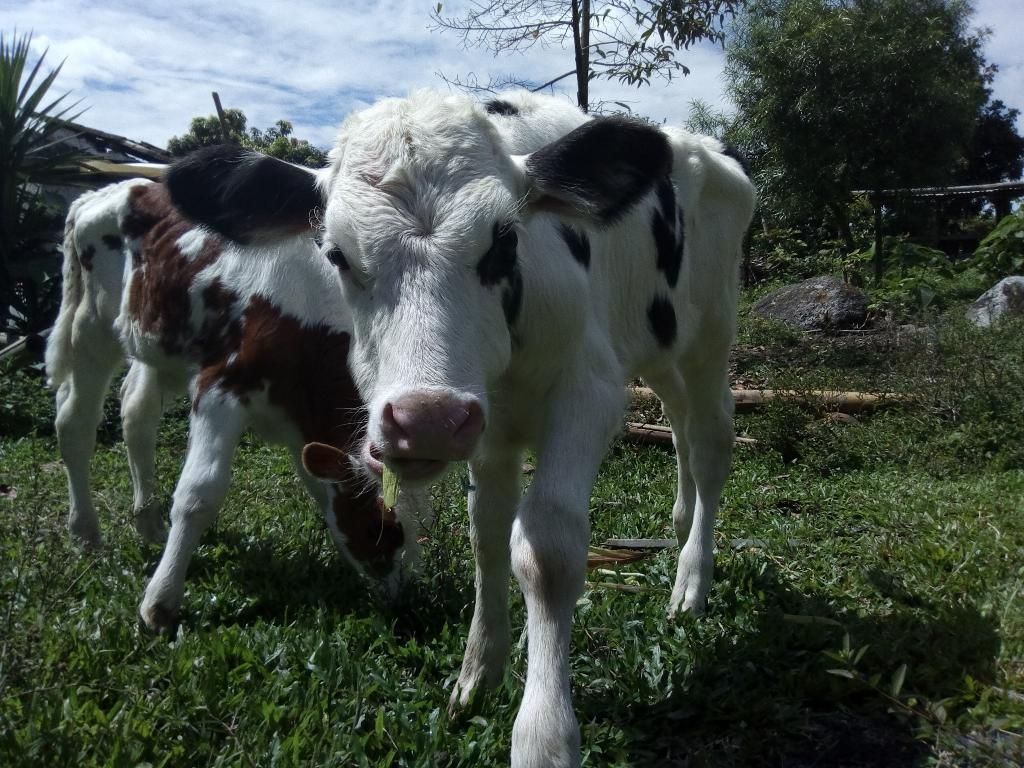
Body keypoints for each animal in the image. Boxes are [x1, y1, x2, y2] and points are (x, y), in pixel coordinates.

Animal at [46, 177, 430, 634]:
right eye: (379, 529)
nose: (400, 600)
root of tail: (108, 190)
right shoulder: (221, 386)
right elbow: (199, 492)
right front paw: (160, 604)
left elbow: (314, 478)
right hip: (92, 327)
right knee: (75, 422)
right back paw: (85, 532)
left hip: (160, 343)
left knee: (135, 412)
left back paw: (149, 523)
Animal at [159, 94, 753, 768]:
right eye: (336, 254)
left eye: (504, 242)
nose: (426, 420)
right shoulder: (489, 429)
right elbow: (486, 534)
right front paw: (477, 676)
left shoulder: (589, 391)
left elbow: (546, 549)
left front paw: (544, 735)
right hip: (657, 341)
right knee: (679, 424)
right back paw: (679, 528)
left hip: (712, 331)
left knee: (711, 441)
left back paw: (691, 581)